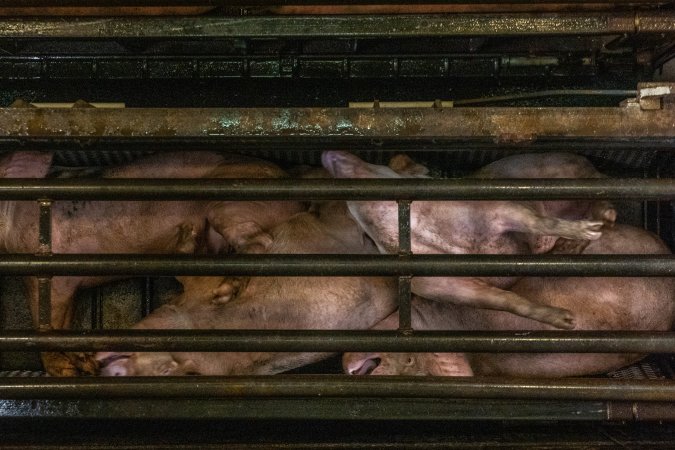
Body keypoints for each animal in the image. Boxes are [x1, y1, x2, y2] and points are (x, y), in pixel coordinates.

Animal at [0, 151, 304, 376]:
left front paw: (66, 372)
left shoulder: (45, 268)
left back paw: (226, 290)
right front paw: (84, 363)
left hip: (230, 199)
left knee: (259, 242)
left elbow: (46, 323)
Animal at [324, 149, 612, 328]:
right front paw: (566, 321)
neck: (419, 229)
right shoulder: (436, 284)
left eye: (377, 165)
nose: (327, 154)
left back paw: (591, 230)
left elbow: (535, 221)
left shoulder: (492, 208)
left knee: (602, 199)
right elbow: (505, 300)